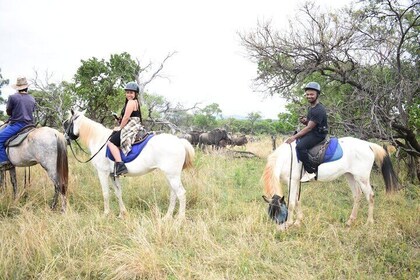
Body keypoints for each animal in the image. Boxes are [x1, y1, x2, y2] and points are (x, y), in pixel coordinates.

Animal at [64, 110, 195, 220]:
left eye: (66, 123)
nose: (65, 138)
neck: (99, 139)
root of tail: (179, 141)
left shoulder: (103, 173)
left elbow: (106, 193)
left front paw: (106, 214)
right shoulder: (113, 175)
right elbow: (118, 193)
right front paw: (123, 214)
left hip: (172, 175)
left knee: (181, 194)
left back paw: (180, 220)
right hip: (170, 175)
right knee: (173, 194)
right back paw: (167, 217)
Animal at [262, 137, 400, 231]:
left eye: (281, 213)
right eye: (271, 214)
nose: (279, 231)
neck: (285, 158)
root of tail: (368, 145)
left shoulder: (293, 181)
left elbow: (291, 203)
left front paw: (291, 223)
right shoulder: (293, 182)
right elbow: (296, 201)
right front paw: (298, 221)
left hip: (362, 178)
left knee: (370, 196)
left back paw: (369, 222)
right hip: (350, 175)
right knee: (357, 195)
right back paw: (350, 221)